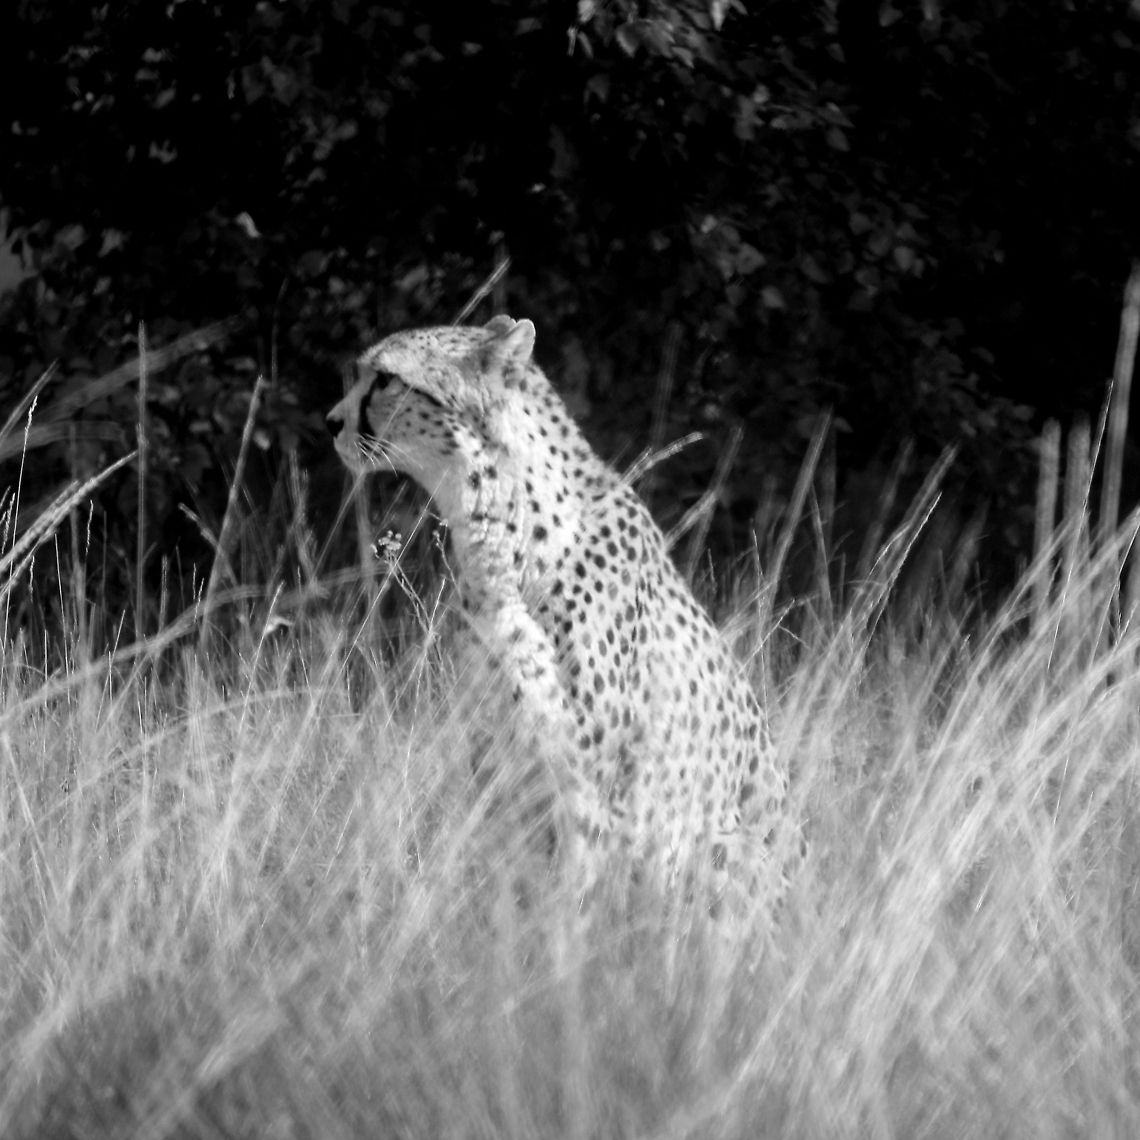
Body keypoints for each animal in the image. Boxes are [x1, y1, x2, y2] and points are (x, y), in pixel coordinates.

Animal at [326, 314, 805, 916]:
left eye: (386, 379)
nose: (331, 421)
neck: (498, 531)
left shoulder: (593, 777)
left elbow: (580, 885)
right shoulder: (495, 757)